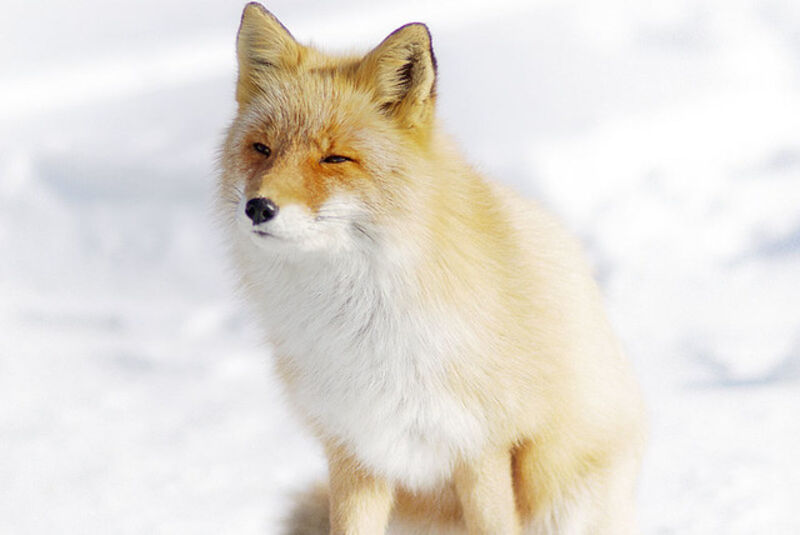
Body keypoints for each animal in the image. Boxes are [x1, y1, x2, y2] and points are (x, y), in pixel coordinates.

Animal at [217, 3, 646, 534]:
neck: (363, 330)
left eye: (335, 158)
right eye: (262, 149)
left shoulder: (480, 445)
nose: (258, 207)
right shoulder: (354, 449)